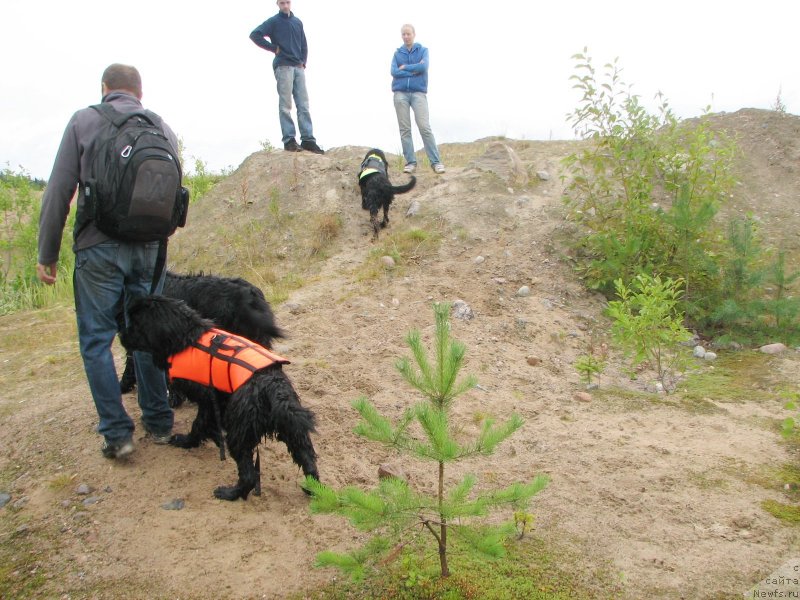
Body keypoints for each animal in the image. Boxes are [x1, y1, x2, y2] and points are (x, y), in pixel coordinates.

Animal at [119, 296, 318, 502]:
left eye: (136, 323)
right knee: (308, 460)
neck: (187, 338)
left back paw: (229, 493)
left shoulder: (209, 399)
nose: (120, 336)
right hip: (293, 429)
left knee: (249, 474)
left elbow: (199, 424)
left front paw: (187, 441)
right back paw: (312, 488)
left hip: (241, 430)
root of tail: (274, 387)